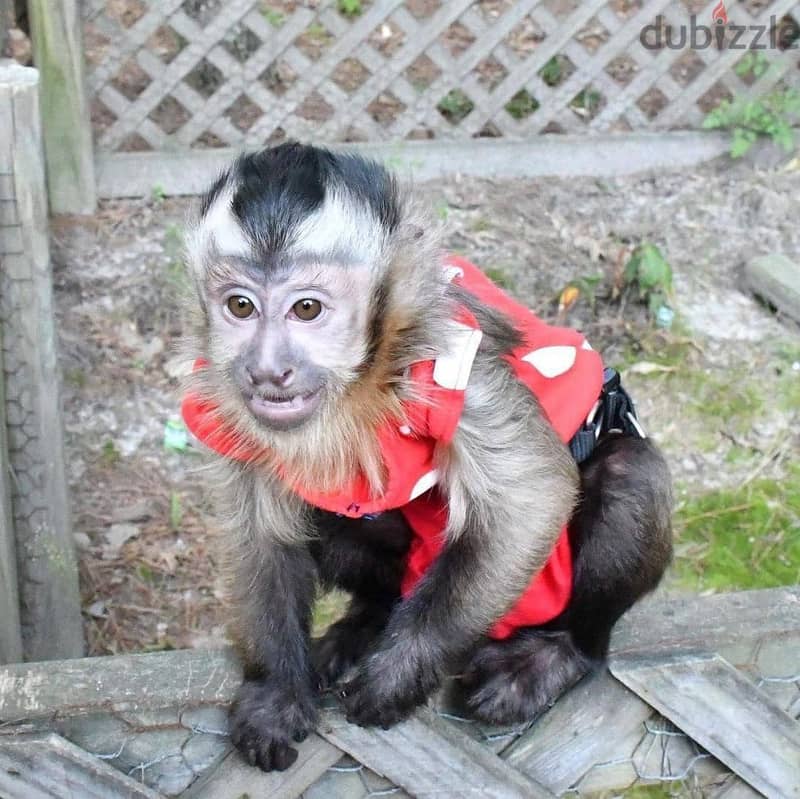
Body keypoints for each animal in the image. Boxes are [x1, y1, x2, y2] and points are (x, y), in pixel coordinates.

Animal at [180, 142, 673, 773]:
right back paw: (368, 620)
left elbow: (531, 500)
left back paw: (561, 653)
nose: (268, 370)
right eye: (240, 306)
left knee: (628, 473)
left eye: (307, 310)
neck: (359, 386)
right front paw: (276, 690)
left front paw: (398, 676)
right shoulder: (220, 404)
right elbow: (258, 536)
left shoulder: (452, 356)